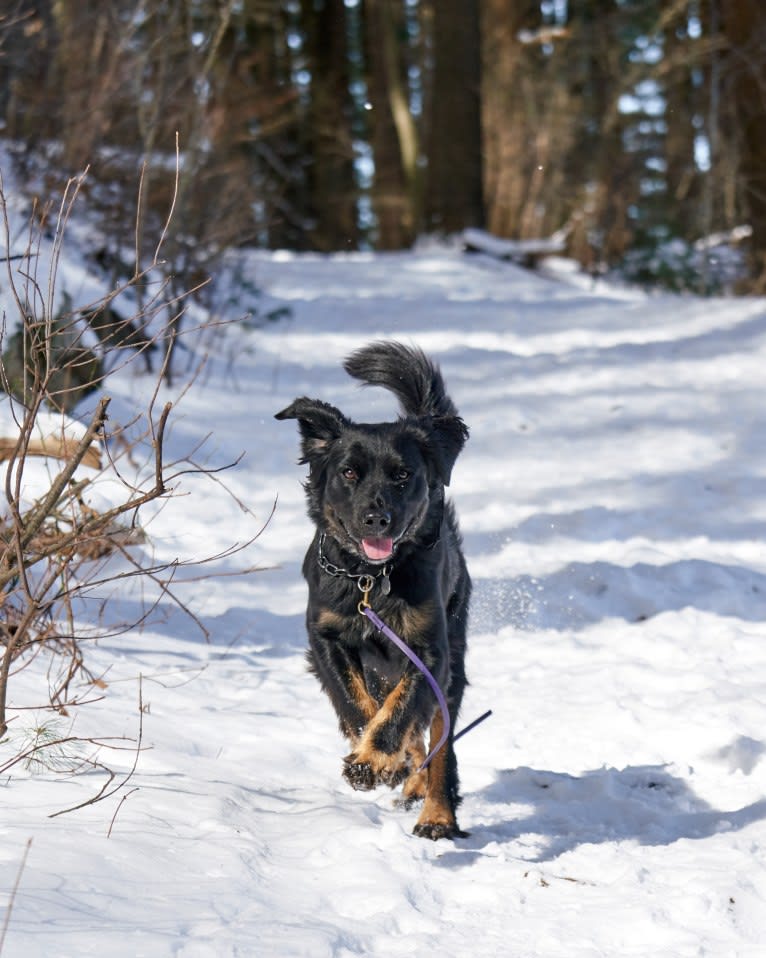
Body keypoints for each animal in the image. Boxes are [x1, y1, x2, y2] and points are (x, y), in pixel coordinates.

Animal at [272, 342, 472, 836]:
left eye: (403, 475)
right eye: (348, 473)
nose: (376, 518)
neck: (370, 579)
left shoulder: (429, 649)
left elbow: (400, 713)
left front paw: (374, 761)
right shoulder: (326, 637)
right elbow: (356, 704)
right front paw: (376, 760)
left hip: (453, 659)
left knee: (439, 738)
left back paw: (435, 811)